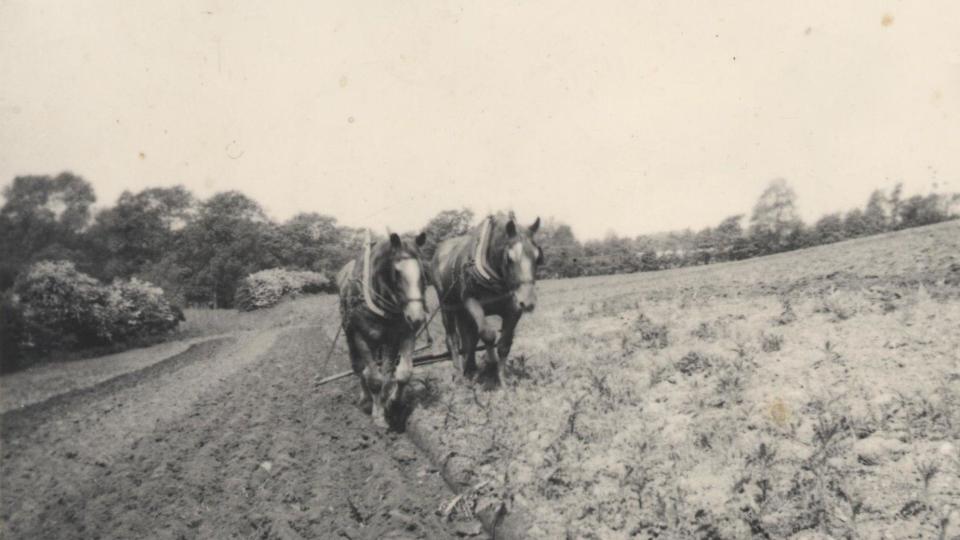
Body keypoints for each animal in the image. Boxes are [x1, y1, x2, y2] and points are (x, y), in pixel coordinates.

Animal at [338, 230, 428, 428]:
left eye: (423, 271)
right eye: (396, 272)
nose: (417, 317)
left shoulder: (402, 335)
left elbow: (401, 374)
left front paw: (392, 405)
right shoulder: (361, 337)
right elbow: (374, 379)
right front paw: (378, 415)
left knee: (383, 370)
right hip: (351, 335)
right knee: (360, 369)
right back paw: (365, 399)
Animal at [432, 212, 544, 388]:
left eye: (538, 257)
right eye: (509, 258)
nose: (528, 302)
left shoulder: (514, 308)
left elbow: (504, 344)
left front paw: (502, 379)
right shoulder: (470, 300)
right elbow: (488, 334)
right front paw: (491, 362)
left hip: (462, 313)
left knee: (469, 338)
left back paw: (470, 369)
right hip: (447, 305)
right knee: (453, 339)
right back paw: (459, 374)